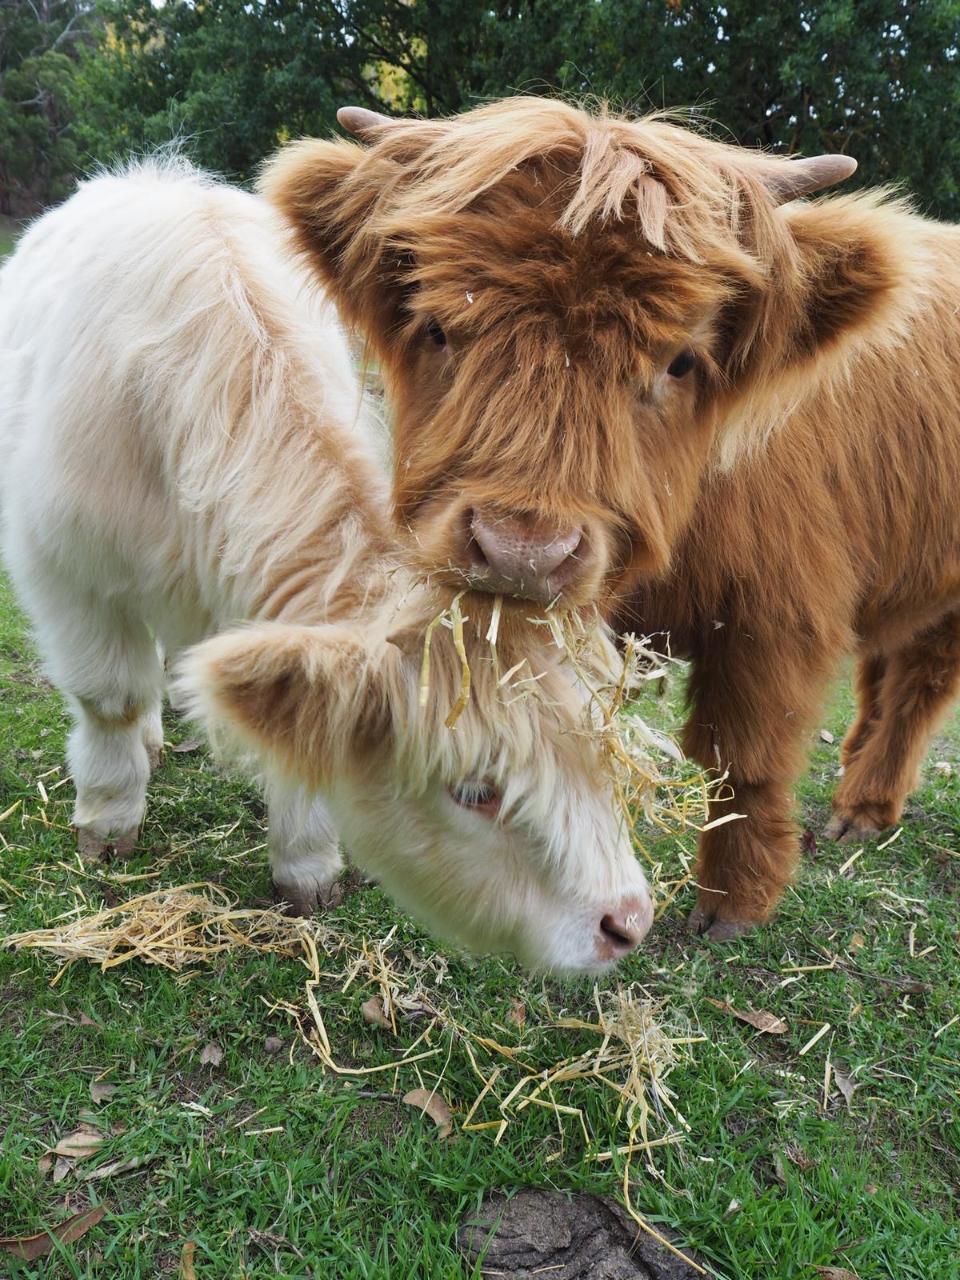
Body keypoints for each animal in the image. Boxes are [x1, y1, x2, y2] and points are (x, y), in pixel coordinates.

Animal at [0, 158, 655, 973]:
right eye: (475, 790)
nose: (627, 921)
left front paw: (305, 865)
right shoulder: (64, 570)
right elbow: (107, 698)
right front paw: (108, 821)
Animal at [262, 96, 959, 939]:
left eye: (681, 360)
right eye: (438, 328)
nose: (522, 552)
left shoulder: (777, 619)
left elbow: (746, 758)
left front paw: (733, 905)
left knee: (921, 681)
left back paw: (865, 805)